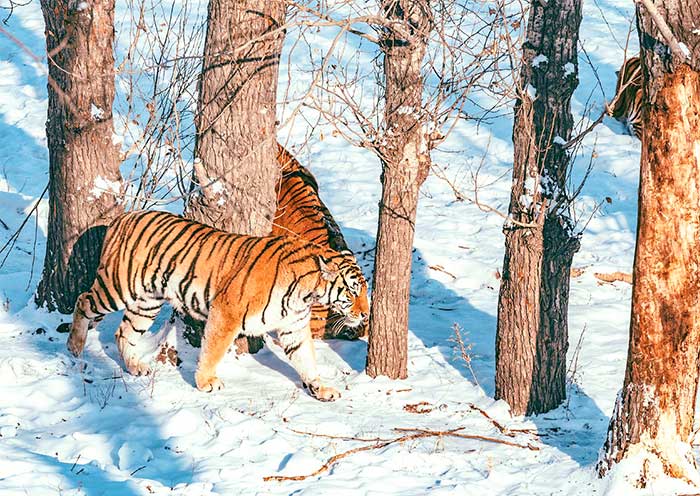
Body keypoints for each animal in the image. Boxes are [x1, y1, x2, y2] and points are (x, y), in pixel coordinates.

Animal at [66, 210, 368, 401]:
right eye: (353, 291)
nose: (365, 313)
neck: (306, 293)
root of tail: (122, 217)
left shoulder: (293, 326)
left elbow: (306, 359)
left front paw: (321, 389)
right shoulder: (226, 313)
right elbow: (213, 350)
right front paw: (206, 383)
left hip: (147, 302)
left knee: (124, 332)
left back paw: (135, 367)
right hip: (118, 287)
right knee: (83, 300)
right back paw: (74, 346)